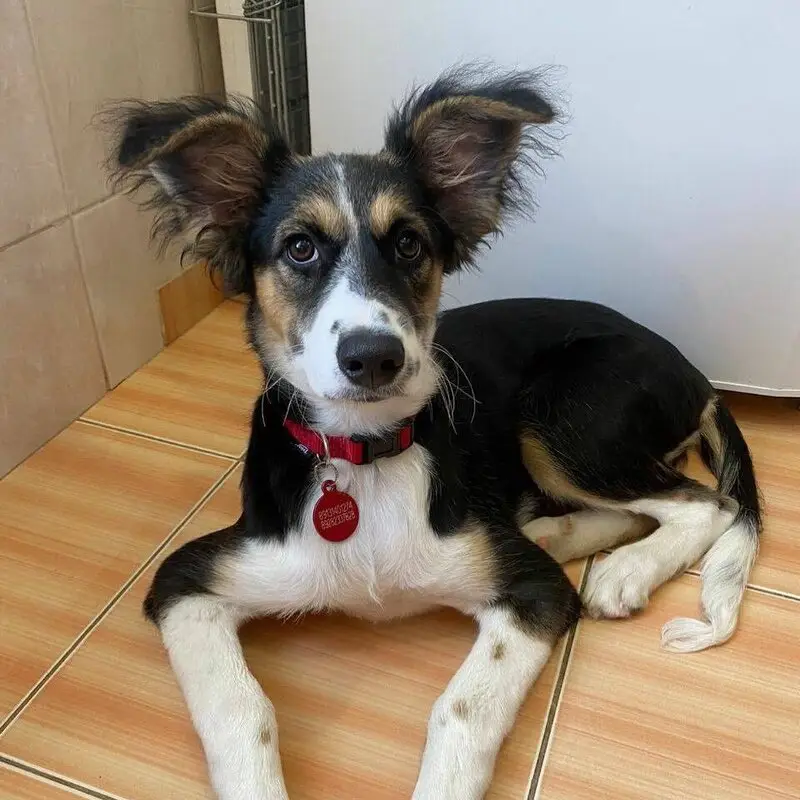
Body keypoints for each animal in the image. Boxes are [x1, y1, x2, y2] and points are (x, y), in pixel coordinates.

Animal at [108, 66, 761, 800]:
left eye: (409, 244)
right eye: (300, 248)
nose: (373, 356)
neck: (363, 458)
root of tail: (698, 374)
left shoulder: (536, 594)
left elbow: (461, 709)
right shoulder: (186, 584)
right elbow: (241, 709)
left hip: (560, 412)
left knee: (704, 502)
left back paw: (624, 570)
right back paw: (558, 533)